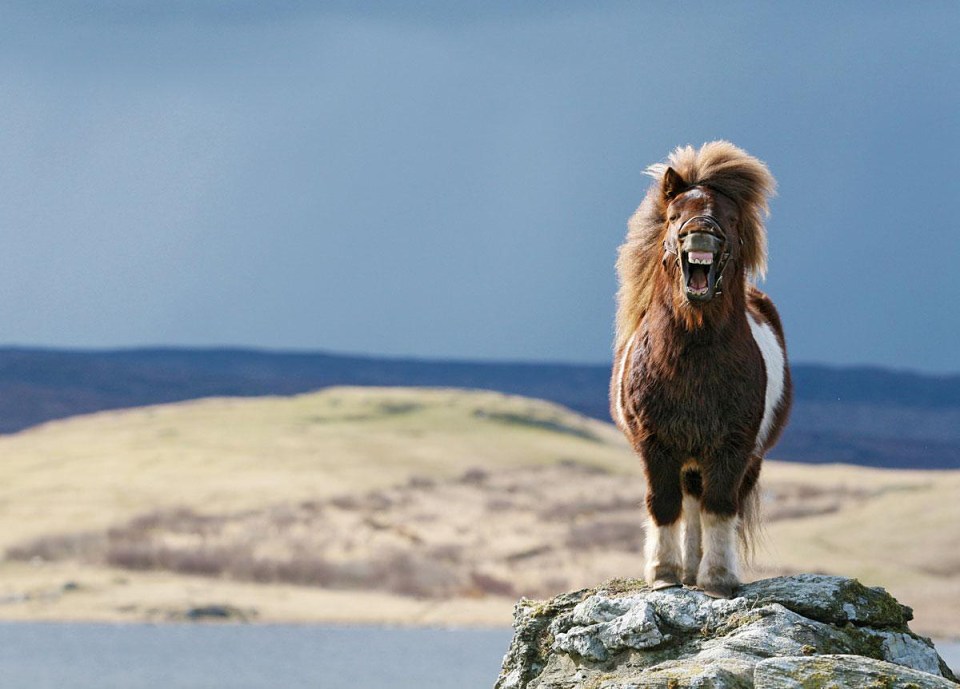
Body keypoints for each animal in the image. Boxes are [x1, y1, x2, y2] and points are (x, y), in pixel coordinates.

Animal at [612, 140, 792, 596]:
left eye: (729, 217)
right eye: (674, 214)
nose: (701, 234)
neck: (693, 361)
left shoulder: (733, 448)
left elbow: (720, 508)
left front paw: (718, 580)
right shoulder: (655, 444)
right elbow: (663, 505)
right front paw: (663, 575)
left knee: (703, 505)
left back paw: (698, 572)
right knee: (688, 505)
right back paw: (686, 570)